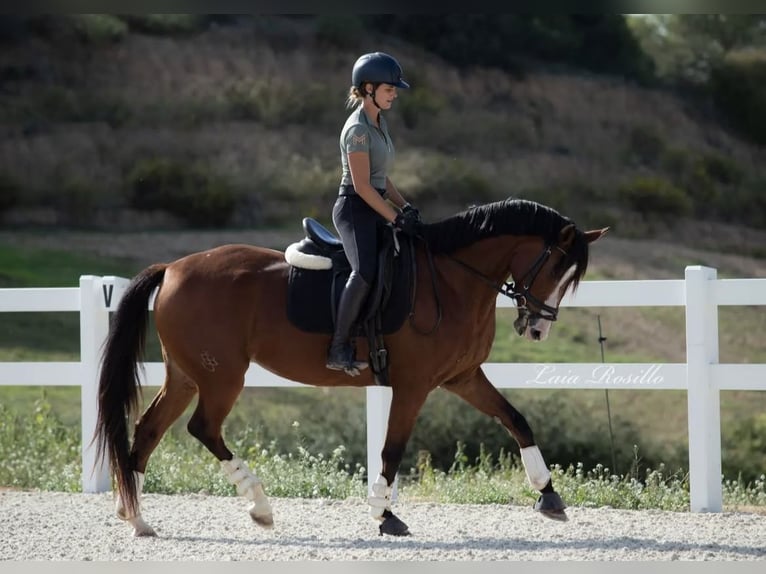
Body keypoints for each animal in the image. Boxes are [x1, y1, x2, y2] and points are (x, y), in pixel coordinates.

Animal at [94, 197, 608, 537]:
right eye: (554, 267)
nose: (537, 328)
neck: (452, 279)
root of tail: (173, 267)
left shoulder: (461, 378)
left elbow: (516, 419)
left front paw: (549, 494)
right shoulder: (415, 385)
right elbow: (392, 450)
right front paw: (386, 515)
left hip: (186, 375)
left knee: (149, 429)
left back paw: (135, 514)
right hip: (222, 377)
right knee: (202, 428)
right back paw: (259, 506)